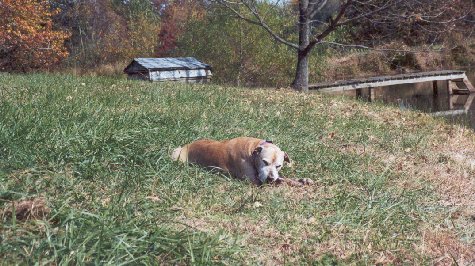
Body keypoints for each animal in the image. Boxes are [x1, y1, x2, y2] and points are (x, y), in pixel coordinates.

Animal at [173, 136, 314, 186]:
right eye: (265, 162)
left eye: (279, 166)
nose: (270, 178)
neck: (253, 150)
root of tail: (186, 145)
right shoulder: (254, 181)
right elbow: (280, 180)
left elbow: (283, 177)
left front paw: (302, 180)